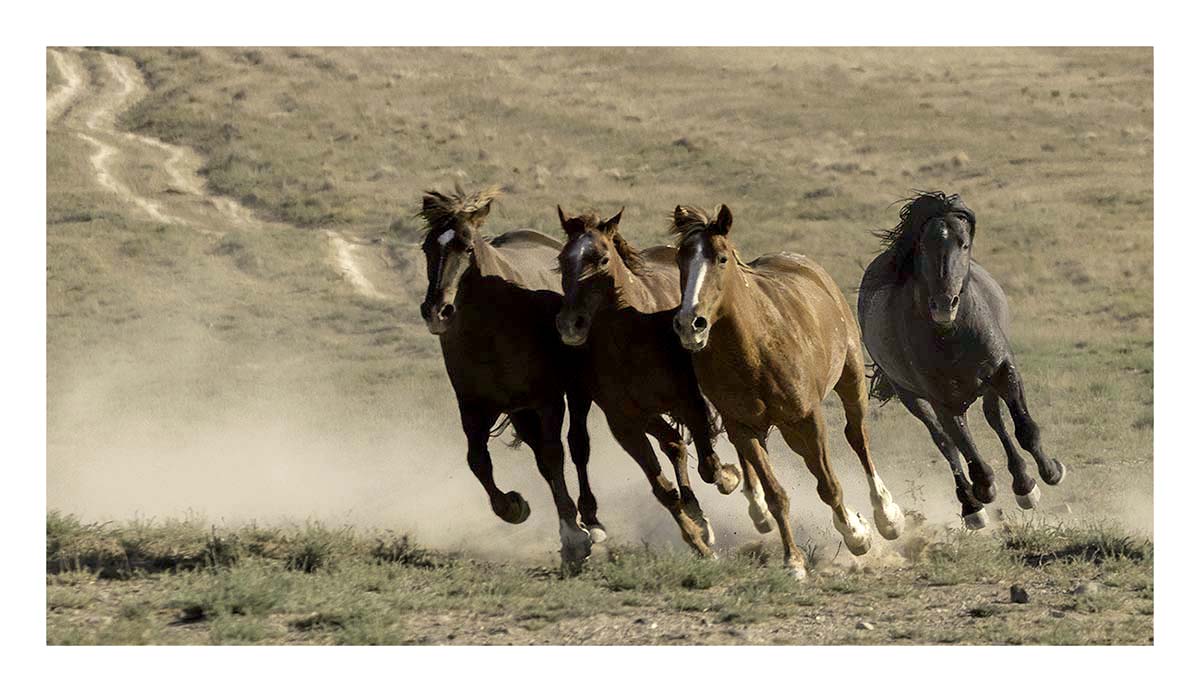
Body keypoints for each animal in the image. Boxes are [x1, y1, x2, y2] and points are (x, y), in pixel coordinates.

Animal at [418, 185, 602, 572]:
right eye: (427, 247)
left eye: (468, 246)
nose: (437, 311)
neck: (493, 325)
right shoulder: (473, 406)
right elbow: (477, 460)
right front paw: (514, 506)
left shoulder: (547, 400)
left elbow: (555, 455)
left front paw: (575, 539)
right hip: (520, 412)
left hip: (572, 395)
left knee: (577, 447)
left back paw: (591, 521)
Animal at [553, 206, 765, 558]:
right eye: (562, 259)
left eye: (602, 259)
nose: (571, 324)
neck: (631, 335)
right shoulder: (625, 425)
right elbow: (662, 487)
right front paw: (698, 540)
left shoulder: (689, 401)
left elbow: (709, 466)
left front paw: (729, 478)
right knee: (670, 444)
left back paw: (753, 500)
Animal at [670, 204, 905, 580]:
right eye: (681, 258)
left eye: (721, 258)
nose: (690, 324)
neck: (754, 348)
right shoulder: (743, 428)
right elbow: (776, 494)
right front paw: (792, 560)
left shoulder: (807, 419)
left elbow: (829, 485)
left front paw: (857, 534)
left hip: (850, 378)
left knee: (858, 438)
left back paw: (886, 515)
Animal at [857, 192, 1065, 529]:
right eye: (923, 246)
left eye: (964, 244)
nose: (944, 305)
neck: (951, 335)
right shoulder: (942, 401)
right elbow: (964, 449)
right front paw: (983, 490)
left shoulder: (1004, 371)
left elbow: (1025, 429)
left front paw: (1050, 473)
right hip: (912, 396)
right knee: (945, 442)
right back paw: (972, 505)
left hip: (986, 385)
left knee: (995, 419)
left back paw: (1022, 484)